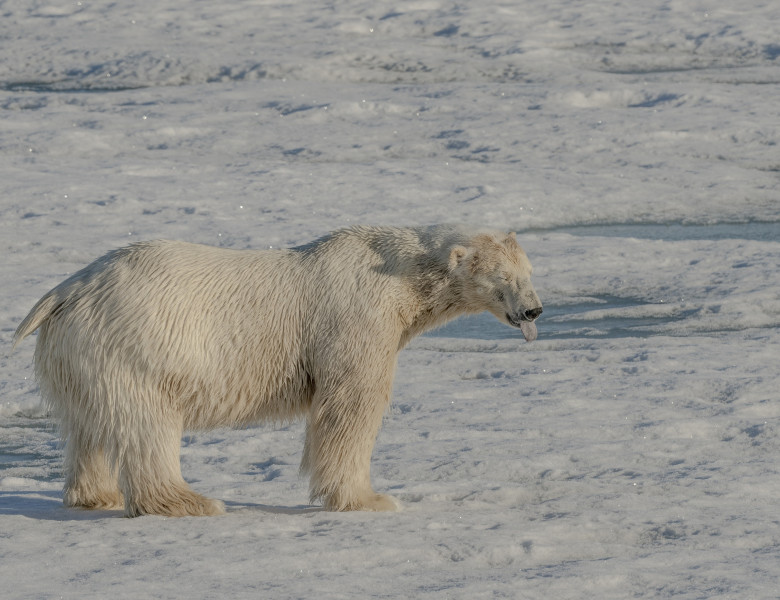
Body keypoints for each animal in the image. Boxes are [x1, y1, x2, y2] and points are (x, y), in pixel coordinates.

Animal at [16, 225, 544, 516]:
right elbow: (351, 405)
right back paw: (191, 502)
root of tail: (66, 290)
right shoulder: (354, 317)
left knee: (89, 425)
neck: (400, 274)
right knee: (147, 423)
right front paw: (370, 498)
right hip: (137, 342)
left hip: (81, 352)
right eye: (503, 277)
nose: (534, 310)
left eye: (530, 271)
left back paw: (95, 496)